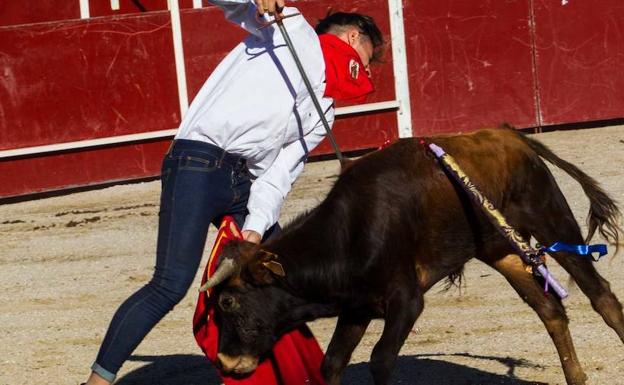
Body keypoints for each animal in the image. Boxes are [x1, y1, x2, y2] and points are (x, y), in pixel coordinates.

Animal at [202, 128, 620, 384]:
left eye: (228, 302)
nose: (225, 363)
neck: (348, 233)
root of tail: (510, 135)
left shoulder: (405, 302)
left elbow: (381, 360)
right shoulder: (357, 307)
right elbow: (332, 363)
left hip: (551, 219)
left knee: (601, 296)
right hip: (502, 251)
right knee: (551, 309)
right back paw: (575, 376)